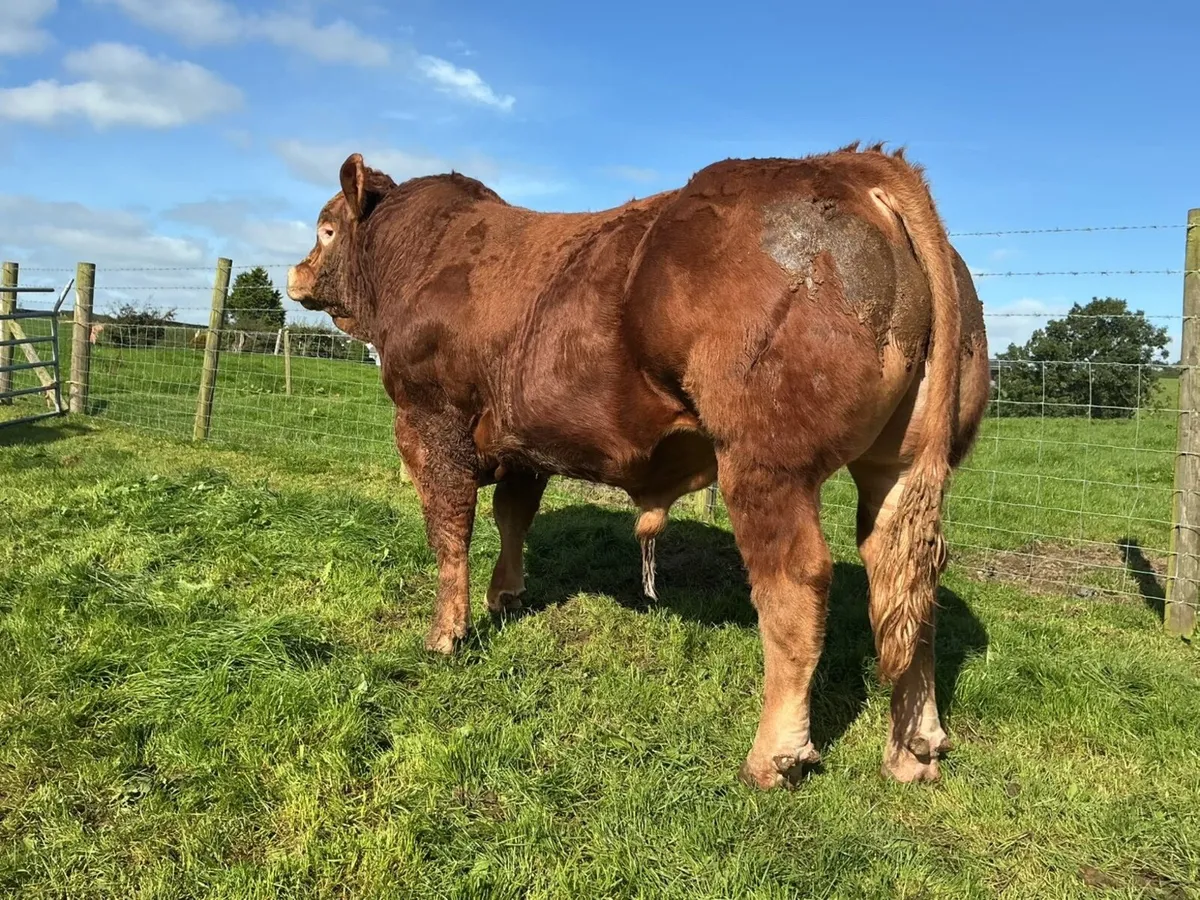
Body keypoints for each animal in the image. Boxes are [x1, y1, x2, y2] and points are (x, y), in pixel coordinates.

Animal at [286, 142, 991, 789]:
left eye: (325, 228)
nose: (295, 272)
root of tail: (853, 164)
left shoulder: (431, 421)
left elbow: (450, 531)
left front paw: (445, 635)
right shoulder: (522, 441)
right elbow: (514, 517)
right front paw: (505, 596)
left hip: (766, 462)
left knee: (797, 585)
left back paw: (774, 756)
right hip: (900, 466)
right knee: (906, 580)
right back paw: (913, 749)